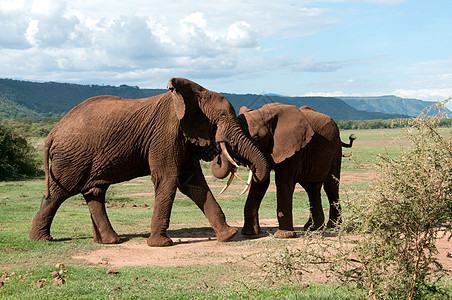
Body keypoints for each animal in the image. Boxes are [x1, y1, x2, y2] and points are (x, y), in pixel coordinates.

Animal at [29, 77, 268, 246]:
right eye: (222, 117)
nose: (216, 150)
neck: (192, 95)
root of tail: (53, 132)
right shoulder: (165, 135)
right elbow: (168, 179)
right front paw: (161, 244)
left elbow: (193, 183)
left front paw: (228, 236)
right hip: (71, 158)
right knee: (59, 192)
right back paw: (40, 239)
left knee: (94, 192)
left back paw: (110, 242)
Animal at [212, 103, 356, 239]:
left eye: (256, 138)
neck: (265, 115)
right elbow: (261, 183)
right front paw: (249, 233)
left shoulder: (293, 148)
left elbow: (283, 182)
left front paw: (283, 236)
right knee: (311, 189)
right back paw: (313, 228)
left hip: (335, 150)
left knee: (331, 187)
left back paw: (333, 227)